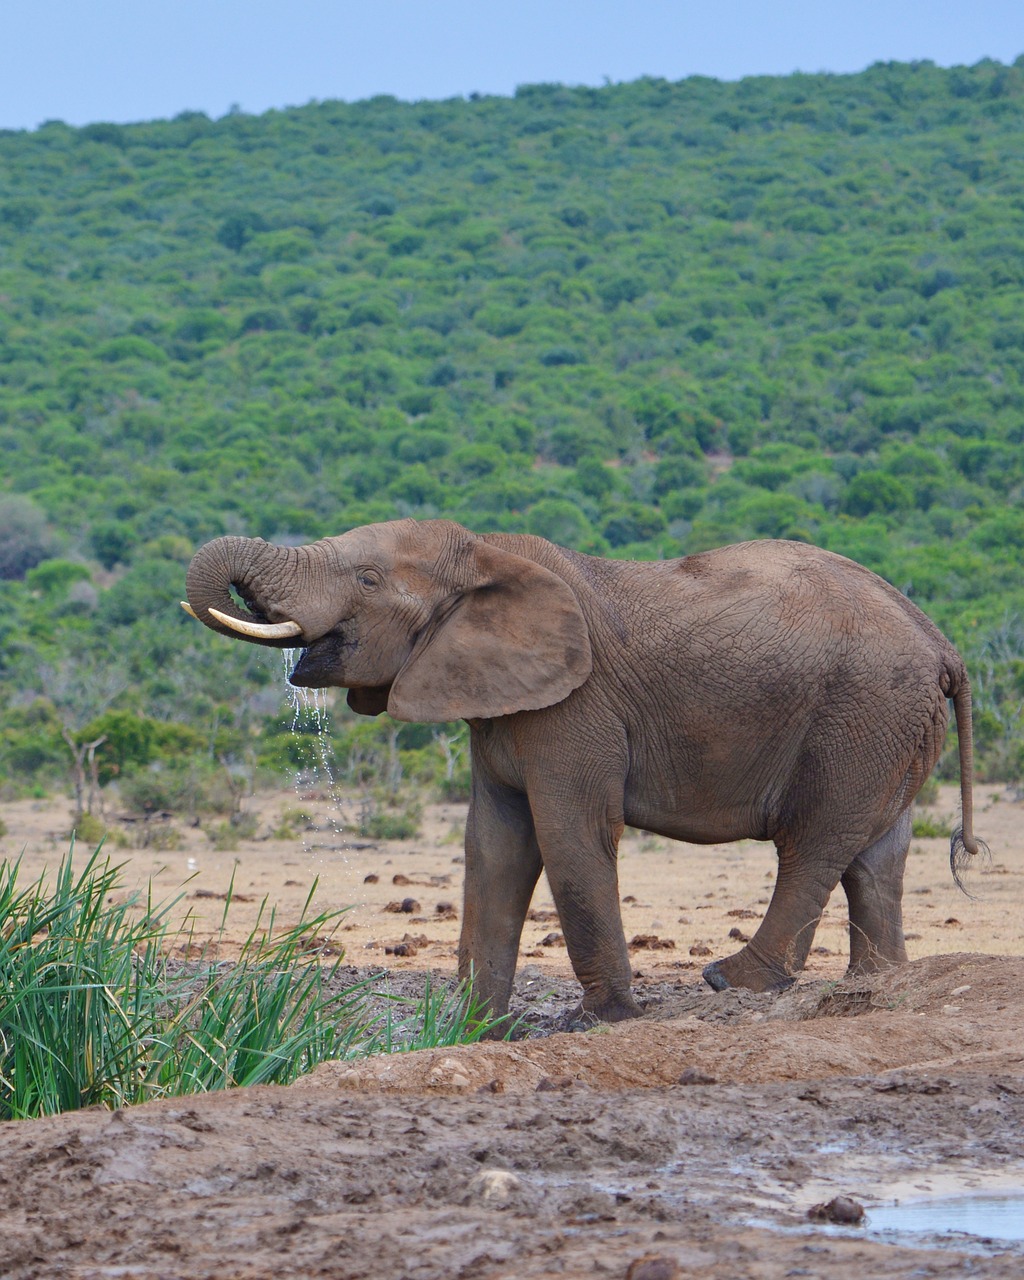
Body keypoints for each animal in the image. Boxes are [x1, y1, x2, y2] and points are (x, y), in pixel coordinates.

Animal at [184, 514, 983, 1024]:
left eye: (369, 578)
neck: (488, 554)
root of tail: (943, 645)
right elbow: (494, 846)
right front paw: (473, 1027)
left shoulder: (576, 708)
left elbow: (568, 837)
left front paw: (599, 1022)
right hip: (890, 726)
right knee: (876, 855)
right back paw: (875, 987)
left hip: (861, 714)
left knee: (814, 843)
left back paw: (732, 981)